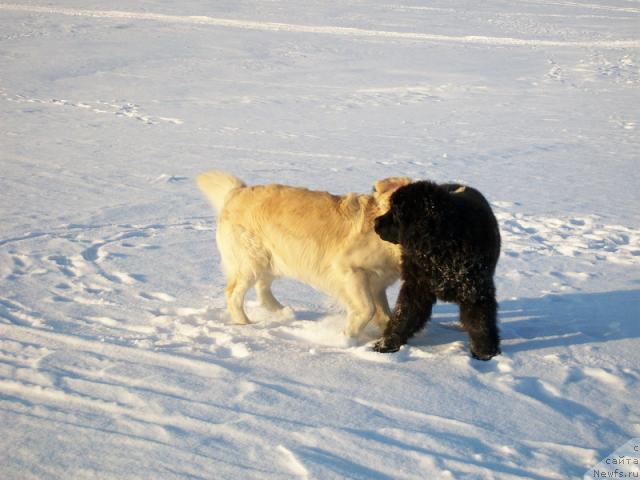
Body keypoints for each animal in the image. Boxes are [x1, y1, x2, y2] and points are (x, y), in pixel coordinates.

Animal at [198, 171, 412, 336]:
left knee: (262, 290)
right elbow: (368, 309)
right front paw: (347, 336)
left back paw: (283, 313)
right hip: (250, 262)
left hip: (274, 258)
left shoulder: (378, 284)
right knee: (233, 295)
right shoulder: (349, 270)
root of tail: (236, 192)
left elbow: (385, 315)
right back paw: (245, 325)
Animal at [372, 180, 502, 360]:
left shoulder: (476, 290)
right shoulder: (416, 286)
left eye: (396, 213)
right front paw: (387, 344)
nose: (375, 222)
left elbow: (480, 323)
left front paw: (485, 353)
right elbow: (403, 315)